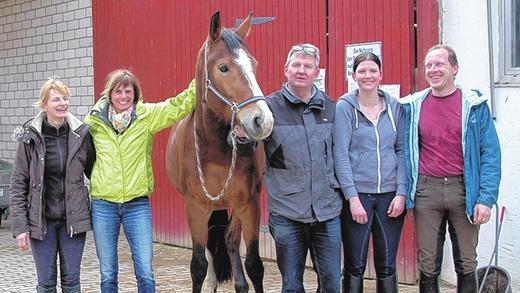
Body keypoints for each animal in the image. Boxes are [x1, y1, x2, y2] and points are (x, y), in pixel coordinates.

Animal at [167, 11, 274, 292]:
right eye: (223, 68)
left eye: (254, 65)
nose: (262, 120)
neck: (214, 151)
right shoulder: (195, 207)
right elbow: (198, 266)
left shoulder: (249, 204)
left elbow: (255, 265)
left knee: (230, 240)